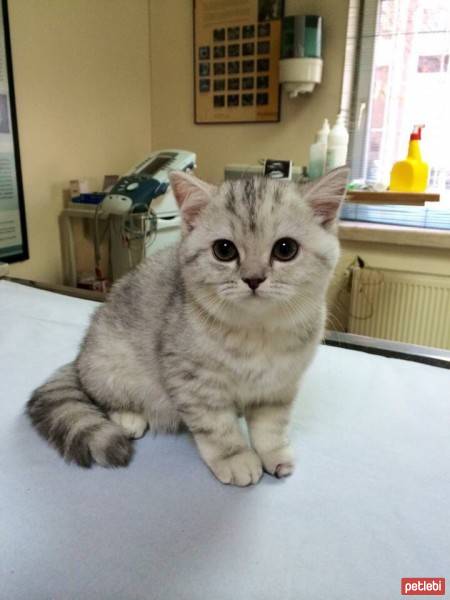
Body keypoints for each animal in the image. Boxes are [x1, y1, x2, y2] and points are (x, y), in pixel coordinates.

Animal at [28, 166, 350, 486]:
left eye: (285, 249)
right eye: (224, 250)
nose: (253, 278)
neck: (255, 332)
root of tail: (80, 356)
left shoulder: (279, 384)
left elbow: (271, 426)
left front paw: (274, 453)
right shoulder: (192, 380)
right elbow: (217, 426)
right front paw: (235, 457)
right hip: (111, 363)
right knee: (103, 395)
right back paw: (129, 417)